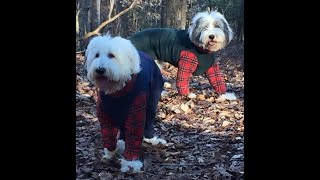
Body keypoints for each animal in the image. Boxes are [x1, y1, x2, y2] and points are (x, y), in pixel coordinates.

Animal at [85, 33, 168, 173]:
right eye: (96, 55)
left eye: (111, 55)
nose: (100, 70)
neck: (117, 91)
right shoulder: (104, 115)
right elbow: (108, 136)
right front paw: (111, 152)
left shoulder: (136, 114)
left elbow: (133, 136)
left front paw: (130, 164)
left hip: (152, 103)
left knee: (149, 122)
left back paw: (152, 139)